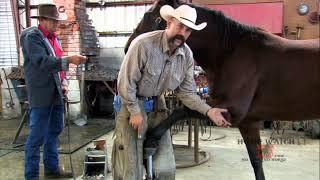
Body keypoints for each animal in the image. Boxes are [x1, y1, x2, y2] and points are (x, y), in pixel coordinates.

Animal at [125, 0, 320, 179]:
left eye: (149, 15)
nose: (128, 47)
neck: (230, 54)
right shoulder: (248, 122)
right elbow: (257, 162)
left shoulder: (230, 113)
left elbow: (183, 111)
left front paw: (151, 142)